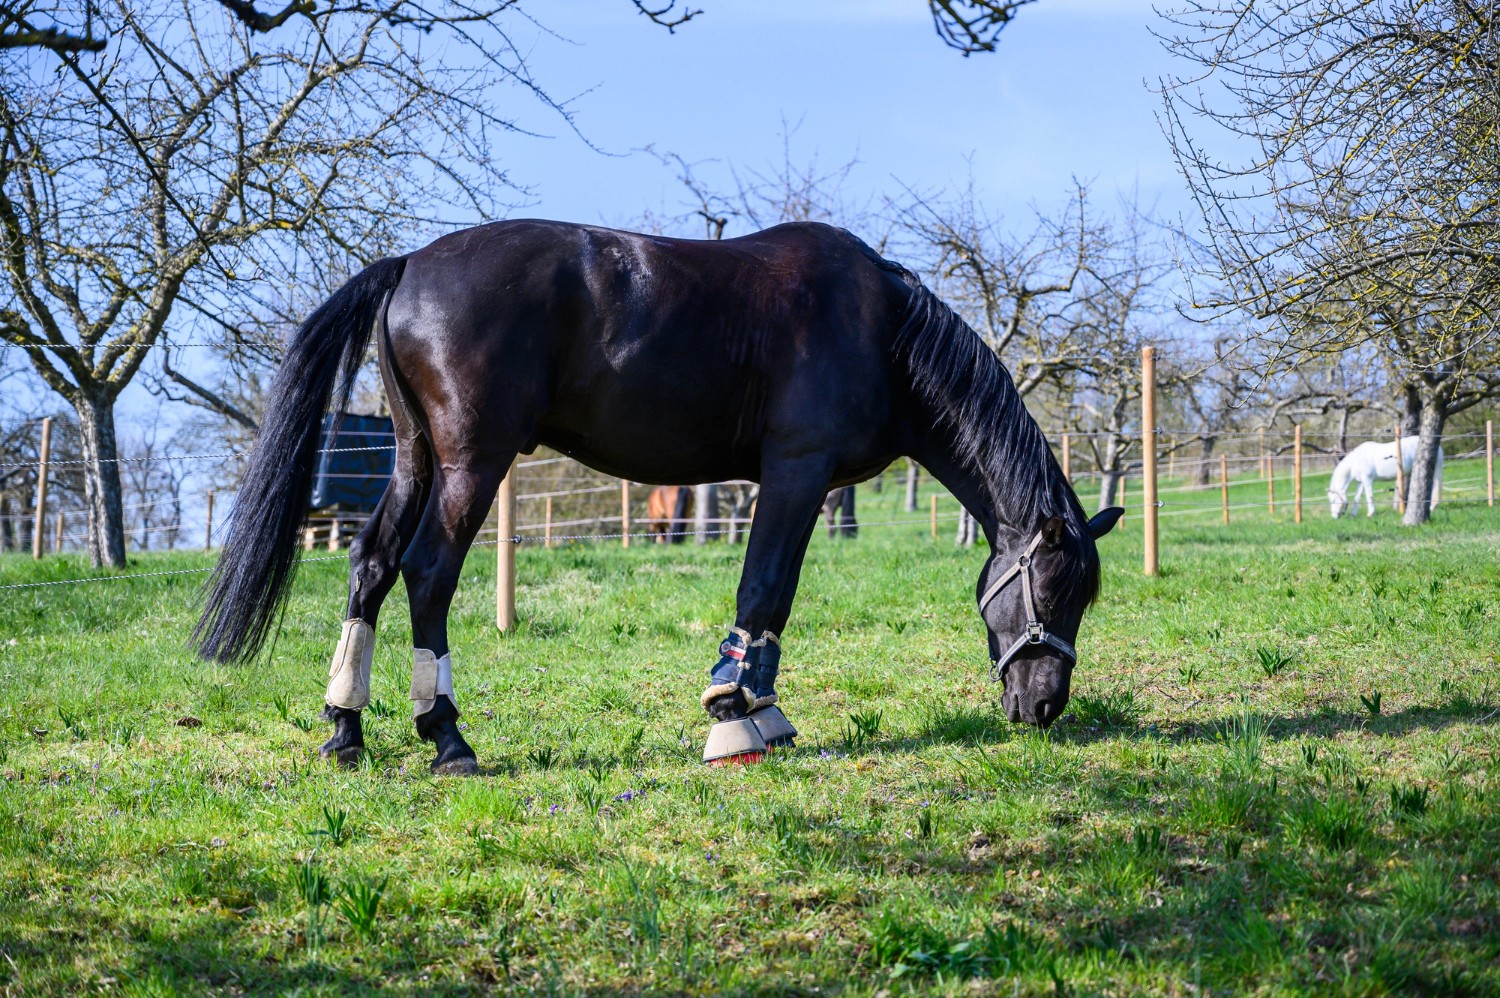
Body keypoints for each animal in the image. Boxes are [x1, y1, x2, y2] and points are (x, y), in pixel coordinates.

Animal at [193, 219, 1123, 775]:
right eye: (1051, 592)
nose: (1045, 706)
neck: (883, 331)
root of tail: (409, 266)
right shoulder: (795, 471)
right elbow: (763, 591)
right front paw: (732, 715)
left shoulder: (800, 485)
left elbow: (775, 605)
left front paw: (764, 711)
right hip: (470, 464)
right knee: (428, 574)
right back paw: (448, 737)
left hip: (416, 460)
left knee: (372, 564)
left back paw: (344, 729)